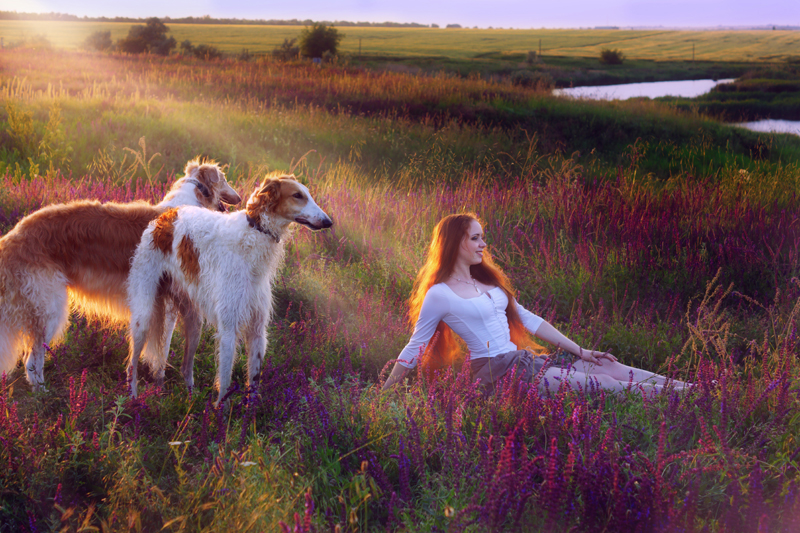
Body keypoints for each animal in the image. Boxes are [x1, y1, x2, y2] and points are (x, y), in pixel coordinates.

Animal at [0, 156, 241, 388]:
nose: (239, 198)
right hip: (51, 308)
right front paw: (160, 383)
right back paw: (43, 393)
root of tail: (13, 236)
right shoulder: (170, 304)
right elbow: (162, 350)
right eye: (224, 178)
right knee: (32, 362)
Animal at [127, 174, 332, 404]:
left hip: (192, 320)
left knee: (184, 367)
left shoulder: (258, 329)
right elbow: (224, 382)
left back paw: (188, 397)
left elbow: (254, 381)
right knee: (132, 364)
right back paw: (133, 400)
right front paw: (219, 411)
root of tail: (166, 215)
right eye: (297, 195)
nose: (328, 222)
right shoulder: (228, 328)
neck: (254, 234)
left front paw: (250, 412)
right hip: (144, 315)